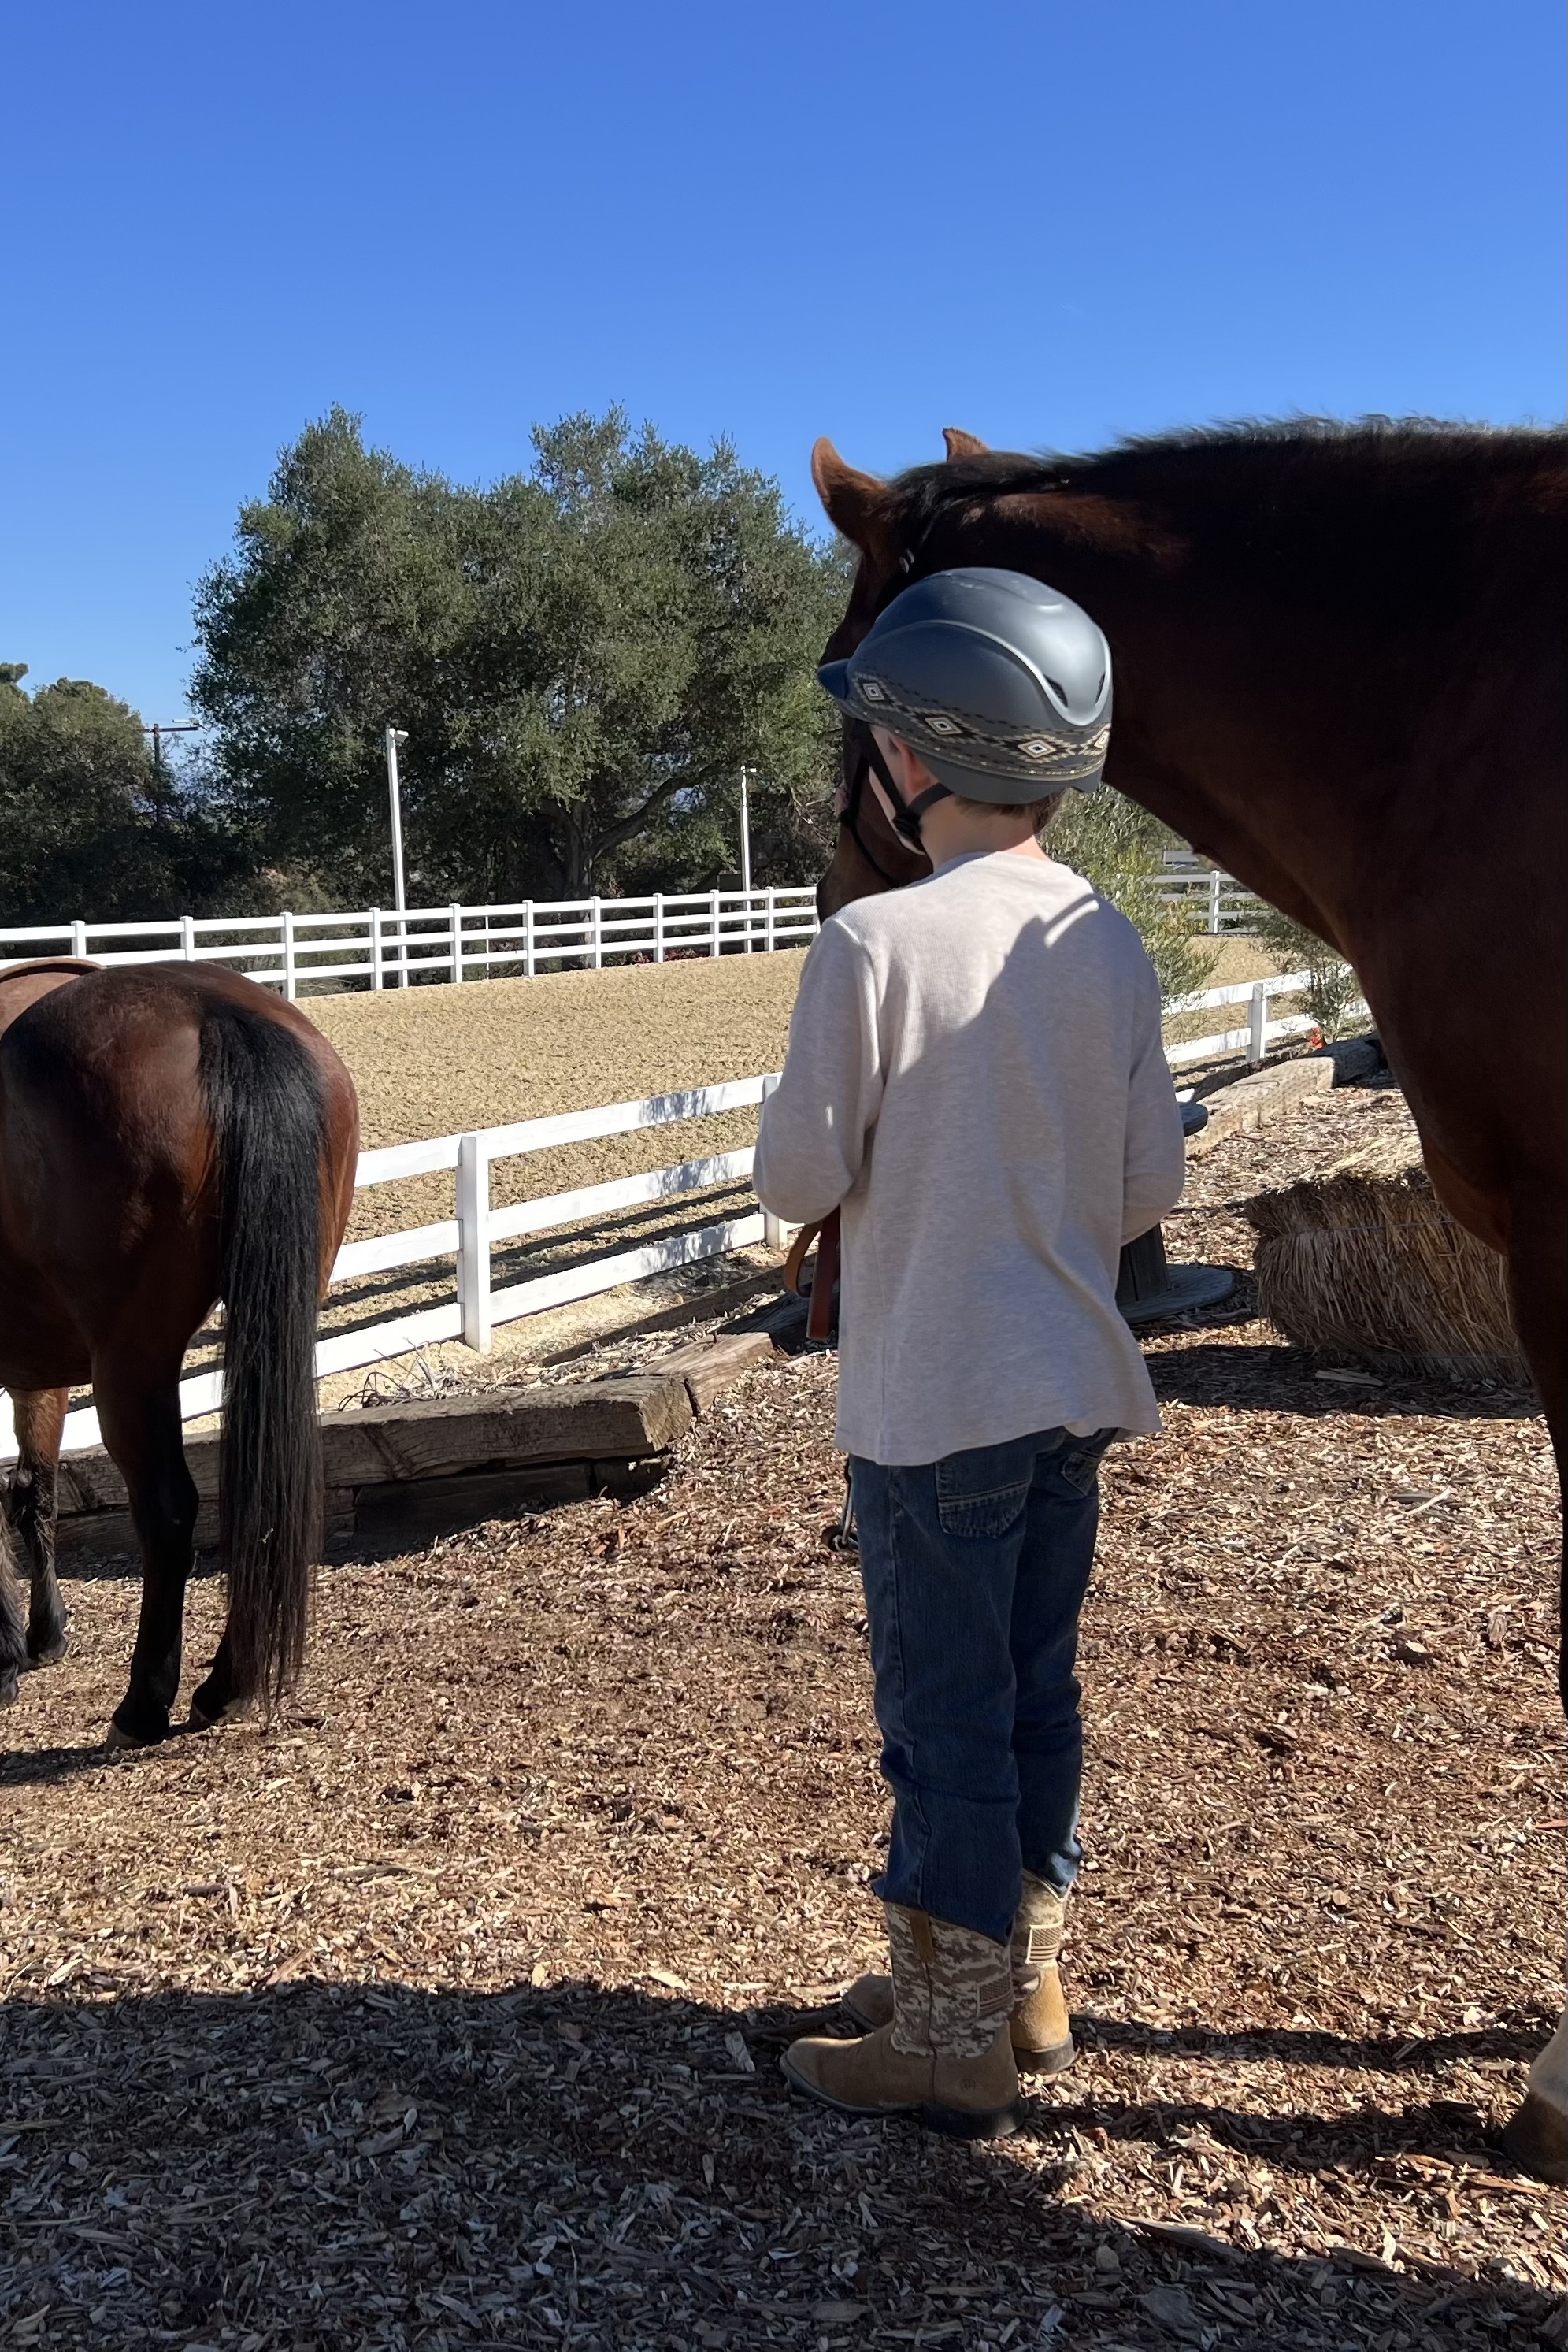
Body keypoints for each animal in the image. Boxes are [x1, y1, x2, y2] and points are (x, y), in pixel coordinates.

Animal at [0, 960, 359, 1749]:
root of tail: (213, 1008)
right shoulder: (36, 1371)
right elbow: (32, 1491)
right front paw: (40, 1635)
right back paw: (228, 1683)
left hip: (130, 1364)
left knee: (166, 1512)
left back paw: (144, 1703)